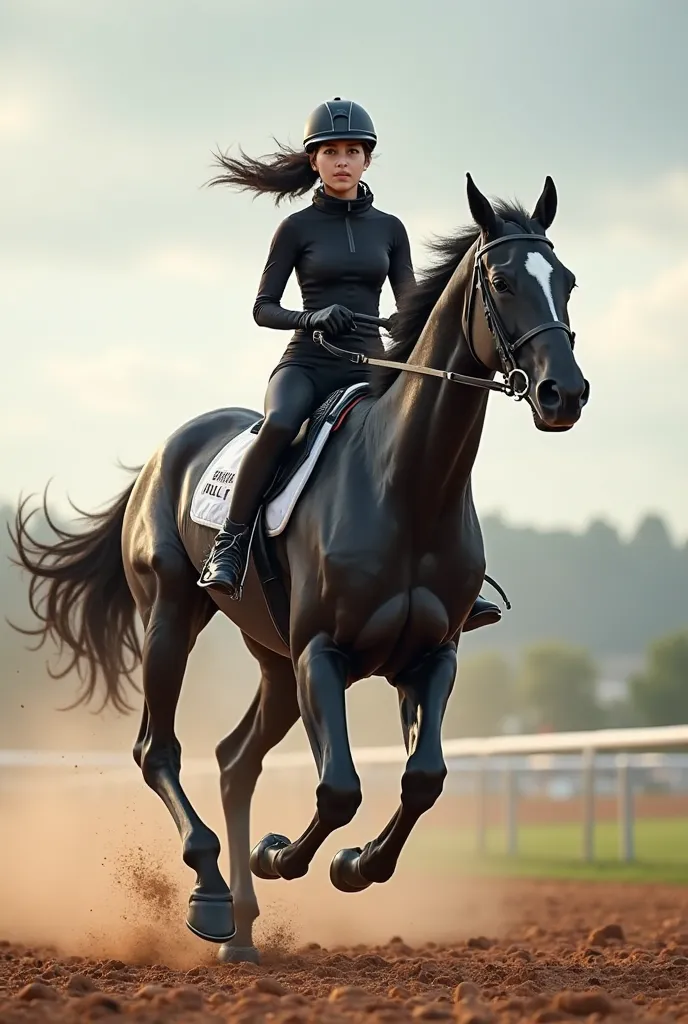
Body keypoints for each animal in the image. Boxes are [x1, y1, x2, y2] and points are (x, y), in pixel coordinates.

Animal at [9, 172, 585, 962]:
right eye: (502, 280)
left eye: (567, 281)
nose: (566, 394)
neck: (407, 483)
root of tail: (162, 453)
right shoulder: (323, 652)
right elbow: (339, 786)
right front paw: (283, 855)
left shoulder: (431, 655)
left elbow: (425, 777)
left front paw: (354, 864)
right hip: (172, 618)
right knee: (158, 749)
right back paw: (212, 896)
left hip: (273, 661)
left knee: (233, 761)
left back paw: (242, 933)